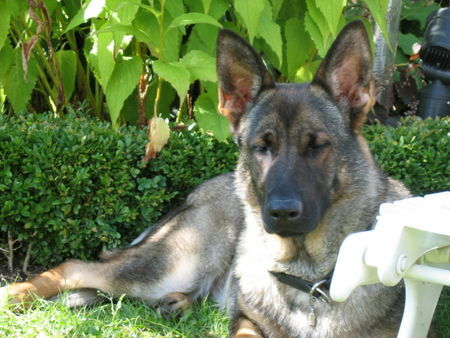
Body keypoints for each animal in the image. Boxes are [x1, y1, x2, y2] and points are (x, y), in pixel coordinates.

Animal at [0, 22, 412, 336]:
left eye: (318, 146)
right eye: (262, 147)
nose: (280, 212)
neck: (309, 279)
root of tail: (201, 189)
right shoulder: (246, 322)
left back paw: (178, 304)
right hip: (174, 264)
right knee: (76, 267)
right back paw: (13, 295)